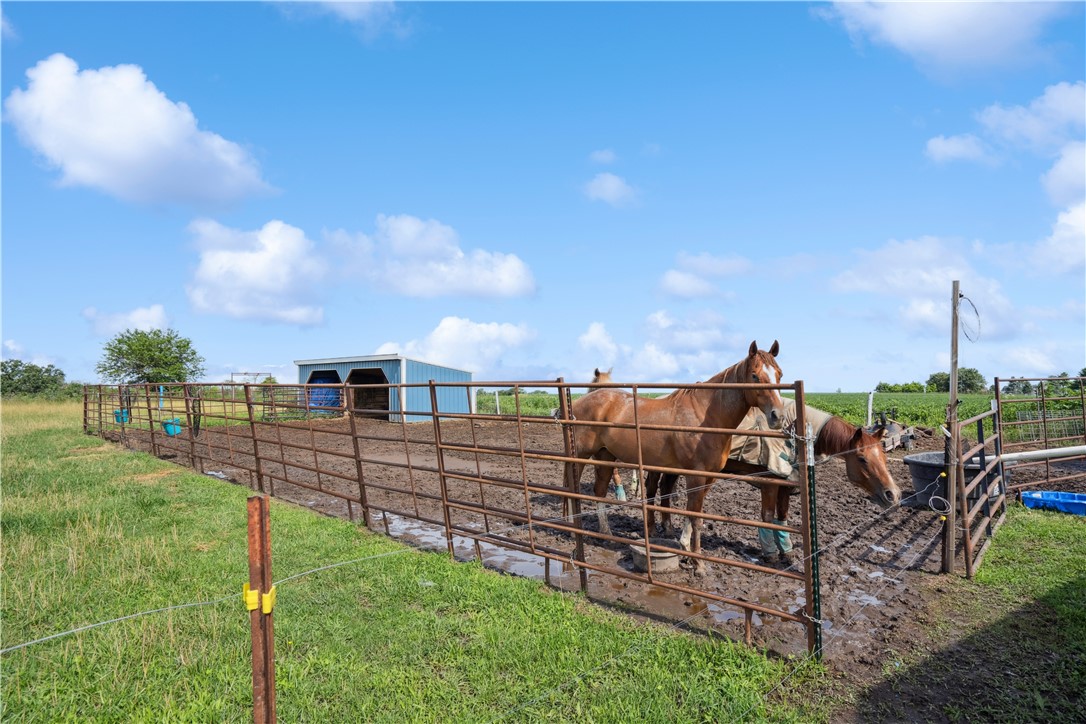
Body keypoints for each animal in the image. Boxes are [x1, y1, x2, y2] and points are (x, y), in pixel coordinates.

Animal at [569, 340, 781, 573]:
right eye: (754, 375)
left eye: (779, 374)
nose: (777, 415)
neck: (707, 417)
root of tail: (578, 403)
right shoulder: (696, 475)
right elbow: (696, 518)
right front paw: (698, 564)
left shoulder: (709, 477)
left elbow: (692, 512)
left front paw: (685, 548)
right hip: (580, 455)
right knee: (571, 487)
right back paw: (571, 527)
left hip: (605, 456)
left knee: (598, 491)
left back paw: (606, 534)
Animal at [642, 401, 899, 560]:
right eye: (862, 458)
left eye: (884, 455)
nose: (893, 494)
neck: (792, 432)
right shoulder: (770, 484)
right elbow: (767, 517)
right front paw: (770, 553)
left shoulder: (785, 484)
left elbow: (782, 517)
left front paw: (787, 550)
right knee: (653, 489)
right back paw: (654, 529)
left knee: (666, 489)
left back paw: (667, 527)